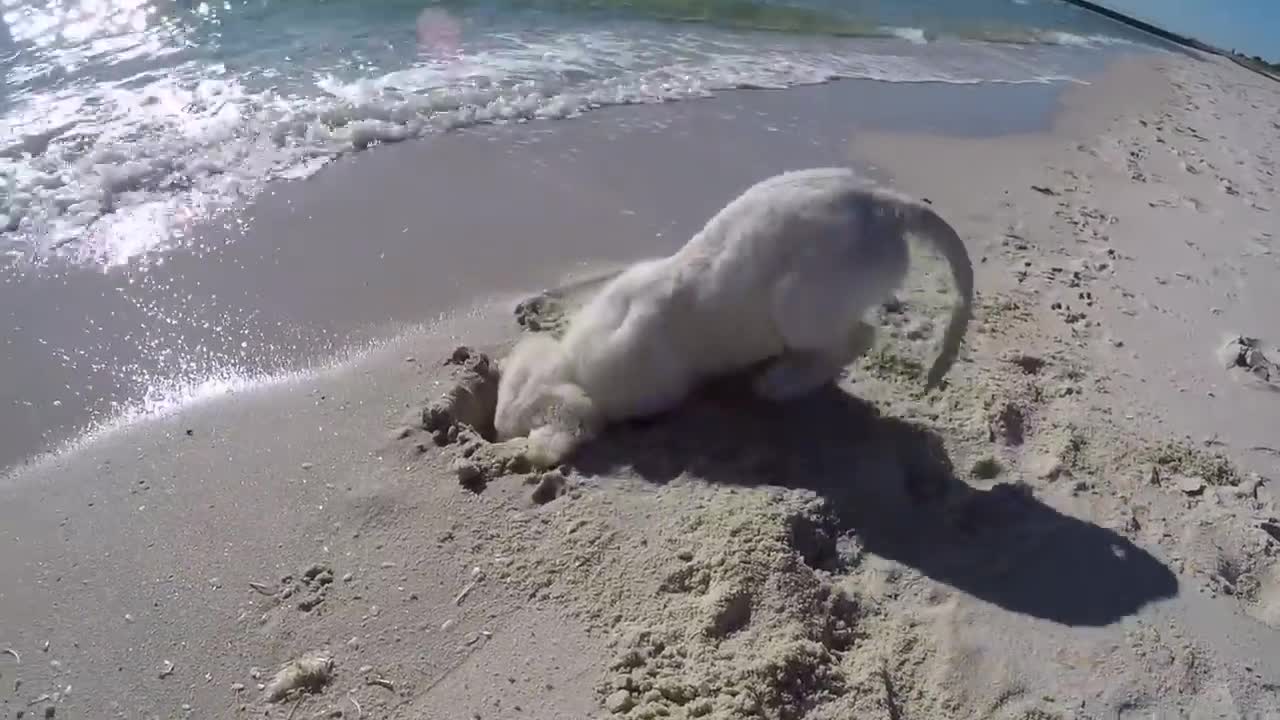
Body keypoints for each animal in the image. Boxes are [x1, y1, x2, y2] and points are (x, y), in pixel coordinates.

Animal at [494, 169, 972, 471]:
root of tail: (883, 203)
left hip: (801, 305)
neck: (574, 366)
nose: (495, 431)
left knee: (856, 338)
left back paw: (781, 383)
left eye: (520, 423)